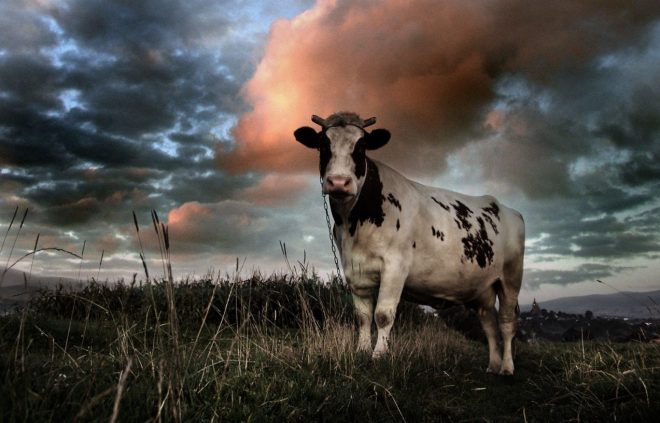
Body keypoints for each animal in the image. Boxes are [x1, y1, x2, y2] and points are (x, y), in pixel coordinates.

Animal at [294, 112, 525, 375]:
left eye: (361, 147)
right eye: (323, 144)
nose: (339, 182)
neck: (354, 223)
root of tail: (508, 210)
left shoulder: (396, 265)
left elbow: (383, 314)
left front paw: (378, 355)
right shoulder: (354, 269)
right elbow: (362, 316)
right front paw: (361, 351)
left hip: (511, 278)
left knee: (507, 323)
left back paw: (506, 367)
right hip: (483, 288)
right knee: (489, 324)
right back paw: (492, 366)